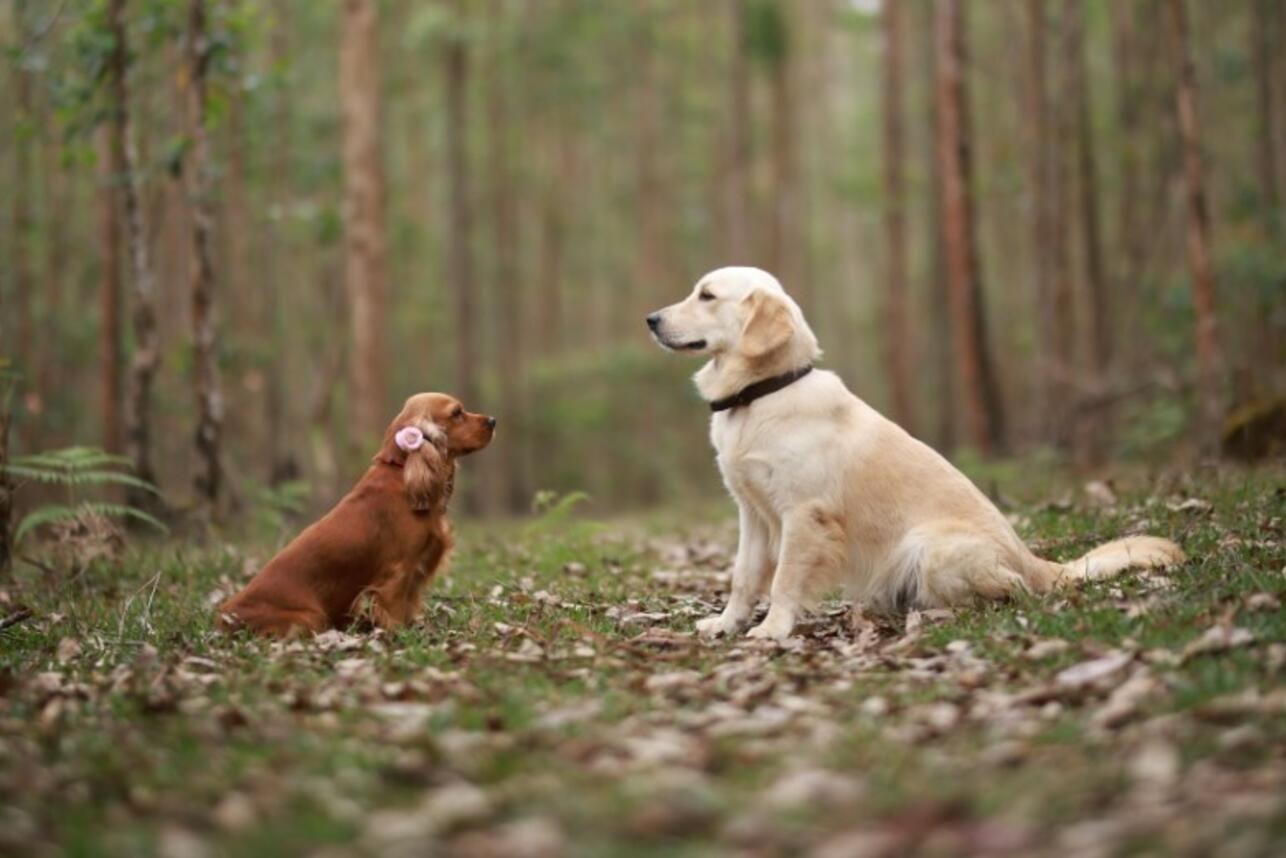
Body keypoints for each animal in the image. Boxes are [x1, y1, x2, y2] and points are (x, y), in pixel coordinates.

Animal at [218, 393, 488, 638]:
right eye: (457, 413)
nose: (493, 421)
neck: (400, 471)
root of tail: (224, 618)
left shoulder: (415, 570)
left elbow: (410, 605)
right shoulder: (398, 571)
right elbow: (395, 610)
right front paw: (401, 635)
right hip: (310, 617)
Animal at [648, 264, 1177, 640]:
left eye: (707, 295)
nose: (650, 319)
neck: (760, 393)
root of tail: (1036, 560)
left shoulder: (804, 514)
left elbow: (784, 581)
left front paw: (773, 629)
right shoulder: (753, 512)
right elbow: (743, 576)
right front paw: (726, 624)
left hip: (931, 547)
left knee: (1016, 591)